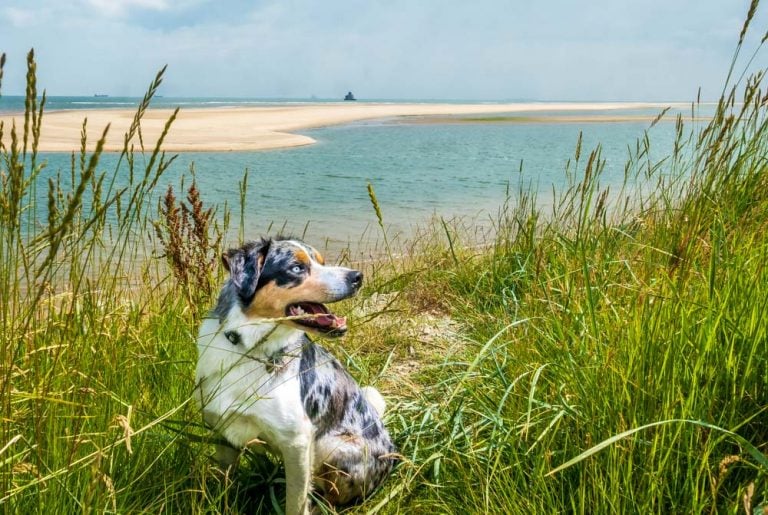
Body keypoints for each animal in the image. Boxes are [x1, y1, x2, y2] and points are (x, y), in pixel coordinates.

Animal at [195, 239, 396, 515]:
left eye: (322, 262)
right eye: (297, 268)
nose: (357, 277)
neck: (249, 348)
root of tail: (394, 455)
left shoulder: (298, 441)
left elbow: (295, 501)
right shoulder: (222, 428)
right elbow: (224, 486)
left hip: (333, 447)